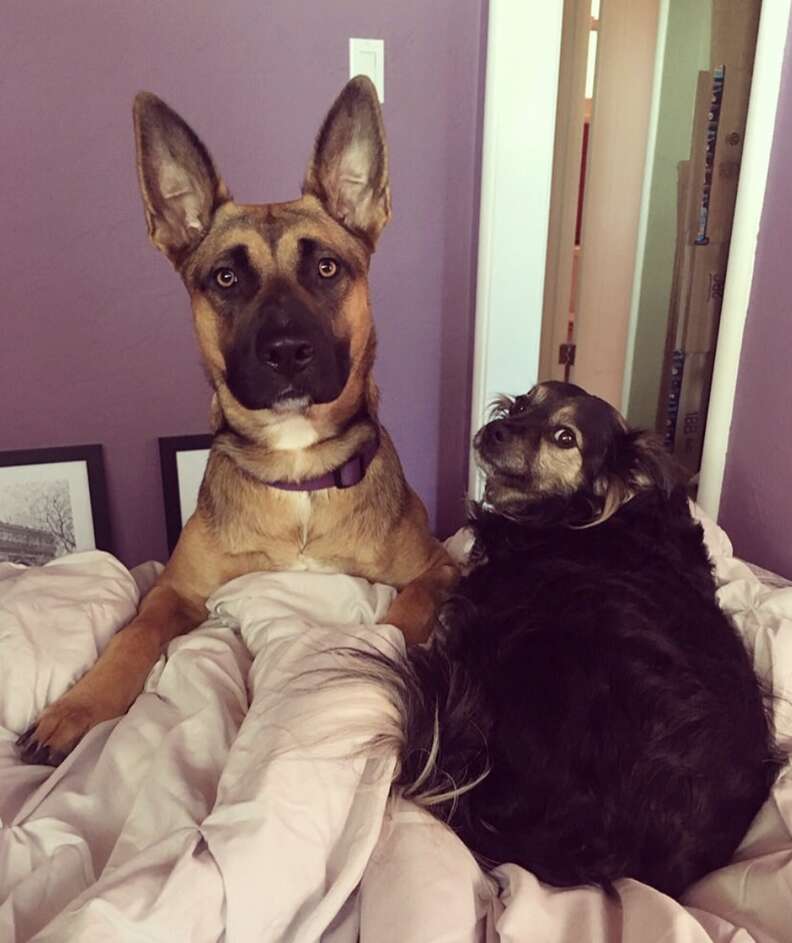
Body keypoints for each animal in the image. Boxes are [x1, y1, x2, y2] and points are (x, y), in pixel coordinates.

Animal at [17, 79, 458, 768]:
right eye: (225, 277)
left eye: (327, 268)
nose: (286, 352)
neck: (299, 472)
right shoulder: (175, 591)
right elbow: (134, 633)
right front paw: (78, 706)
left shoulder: (439, 567)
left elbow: (403, 614)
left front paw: (372, 670)